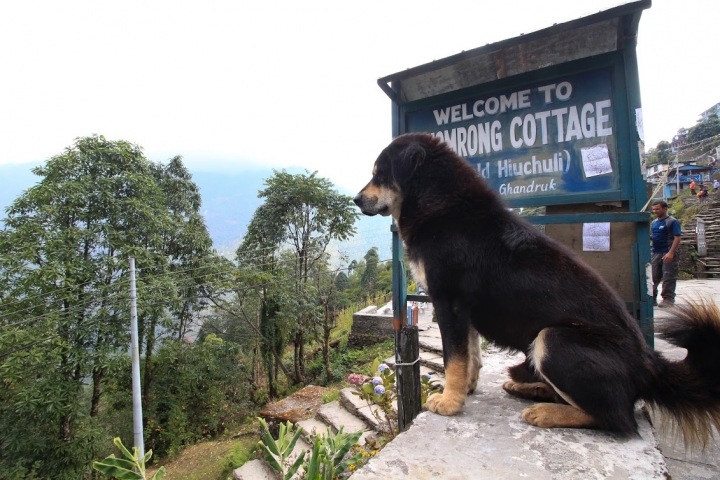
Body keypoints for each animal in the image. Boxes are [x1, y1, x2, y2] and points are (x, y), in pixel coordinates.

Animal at [356, 132, 720, 446]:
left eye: (379, 174)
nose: (357, 199)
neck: (442, 204)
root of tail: (649, 366)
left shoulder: (450, 303)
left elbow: (454, 359)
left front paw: (450, 401)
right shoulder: (464, 310)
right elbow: (471, 354)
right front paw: (467, 389)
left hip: (553, 339)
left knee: (618, 419)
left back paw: (548, 412)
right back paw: (533, 391)